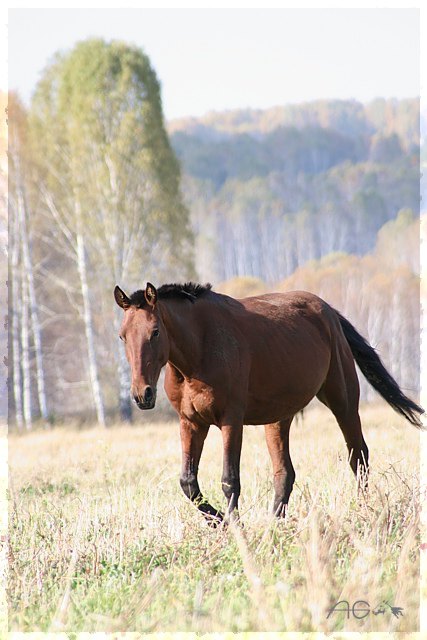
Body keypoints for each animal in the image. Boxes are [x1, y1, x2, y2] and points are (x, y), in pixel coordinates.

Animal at [114, 282, 424, 524]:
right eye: (123, 336)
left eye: (155, 331)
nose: (142, 394)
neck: (200, 349)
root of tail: (328, 312)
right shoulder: (191, 423)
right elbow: (188, 482)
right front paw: (220, 522)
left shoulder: (231, 420)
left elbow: (230, 480)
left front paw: (234, 526)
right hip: (278, 419)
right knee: (285, 472)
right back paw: (275, 522)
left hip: (343, 401)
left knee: (358, 457)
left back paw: (364, 508)